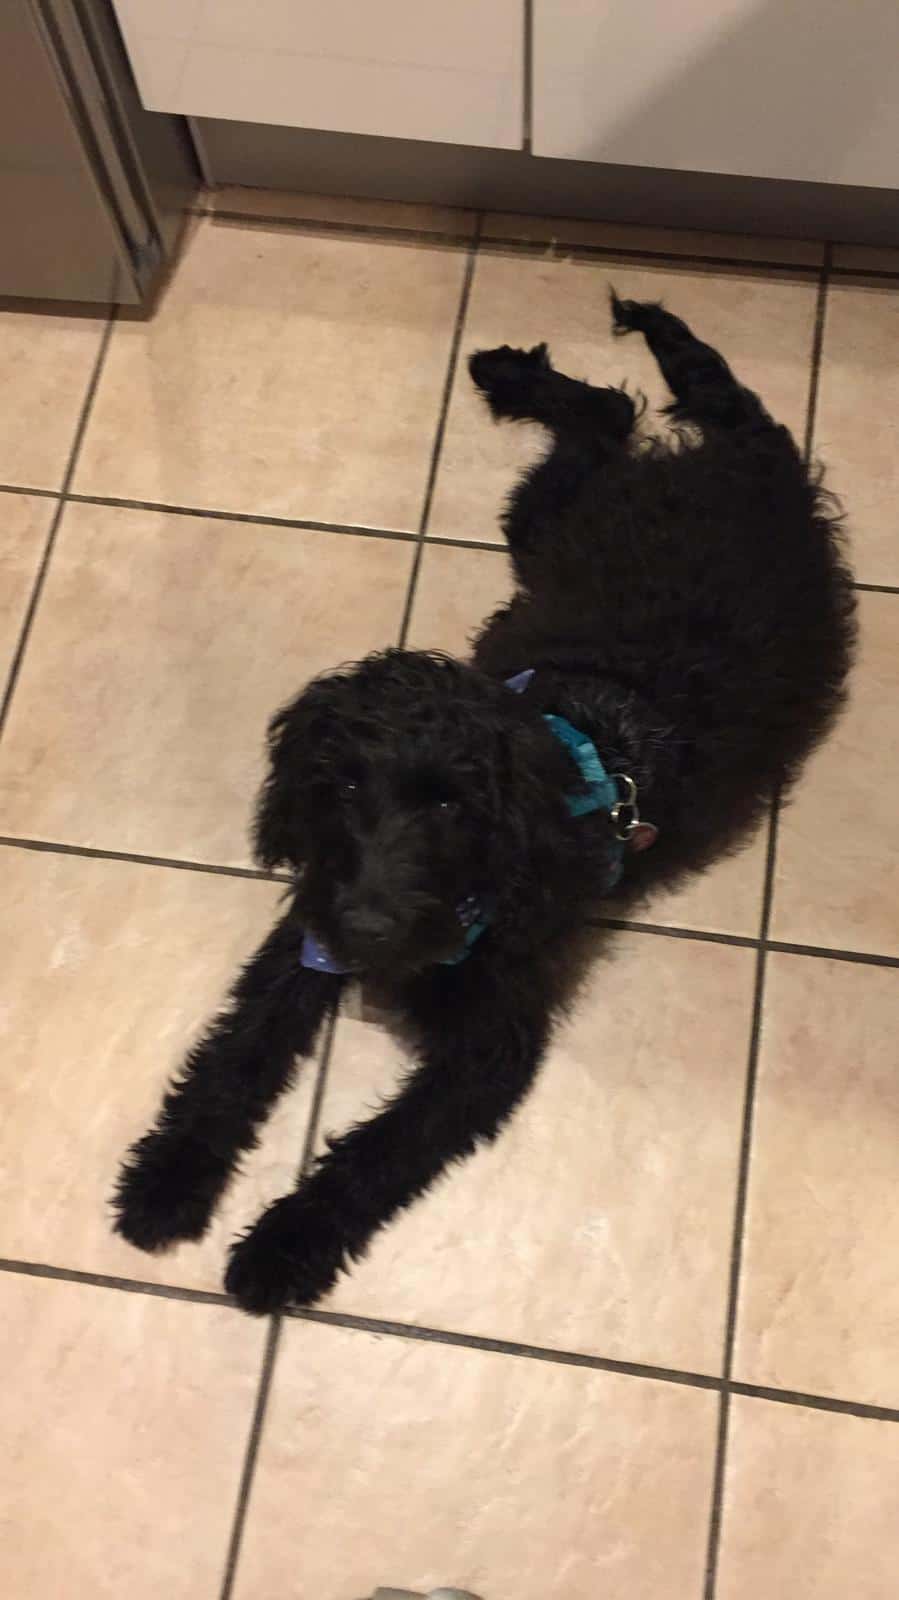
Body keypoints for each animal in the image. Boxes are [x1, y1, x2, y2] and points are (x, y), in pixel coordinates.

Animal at [113, 295, 856, 1314]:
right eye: (343, 785)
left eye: (450, 807)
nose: (370, 930)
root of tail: (750, 460)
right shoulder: (308, 931)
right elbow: (237, 1052)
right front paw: (168, 1179)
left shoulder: (494, 1040)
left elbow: (384, 1147)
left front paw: (281, 1245)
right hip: (544, 521)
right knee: (606, 416)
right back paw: (514, 371)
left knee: (614, 413)